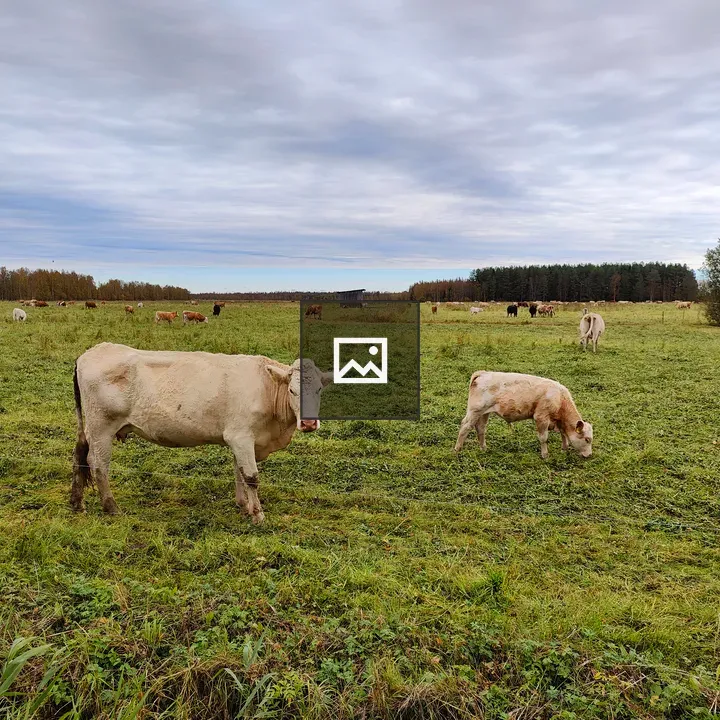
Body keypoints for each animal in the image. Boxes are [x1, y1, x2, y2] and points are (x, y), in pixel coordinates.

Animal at [70, 343, 333, 523]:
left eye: (320, 389)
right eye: (292, 390)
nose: (309, 423)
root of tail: (92, 352)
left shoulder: (238, 440)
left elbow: (238, 472)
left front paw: (243, 506)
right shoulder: (241, 436)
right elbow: (250, 476)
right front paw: (257, 514)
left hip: (88, 428)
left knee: (79, 457)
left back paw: (77, 503)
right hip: (101, 428)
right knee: (97, 464)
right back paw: (111, 507)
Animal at [454, 371, 593, 459]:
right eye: (587, 439)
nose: (589, 455)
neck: (559, 398)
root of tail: (483, 373)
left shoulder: (558, 421)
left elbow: (563, 434)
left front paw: (564, 449)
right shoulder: (541, 417)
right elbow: (543, 438)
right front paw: (545, 455)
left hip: (484, 413)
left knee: (481, 429)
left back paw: (483, 449)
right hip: (474, 410)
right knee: (465, 427)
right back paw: (457, 450)